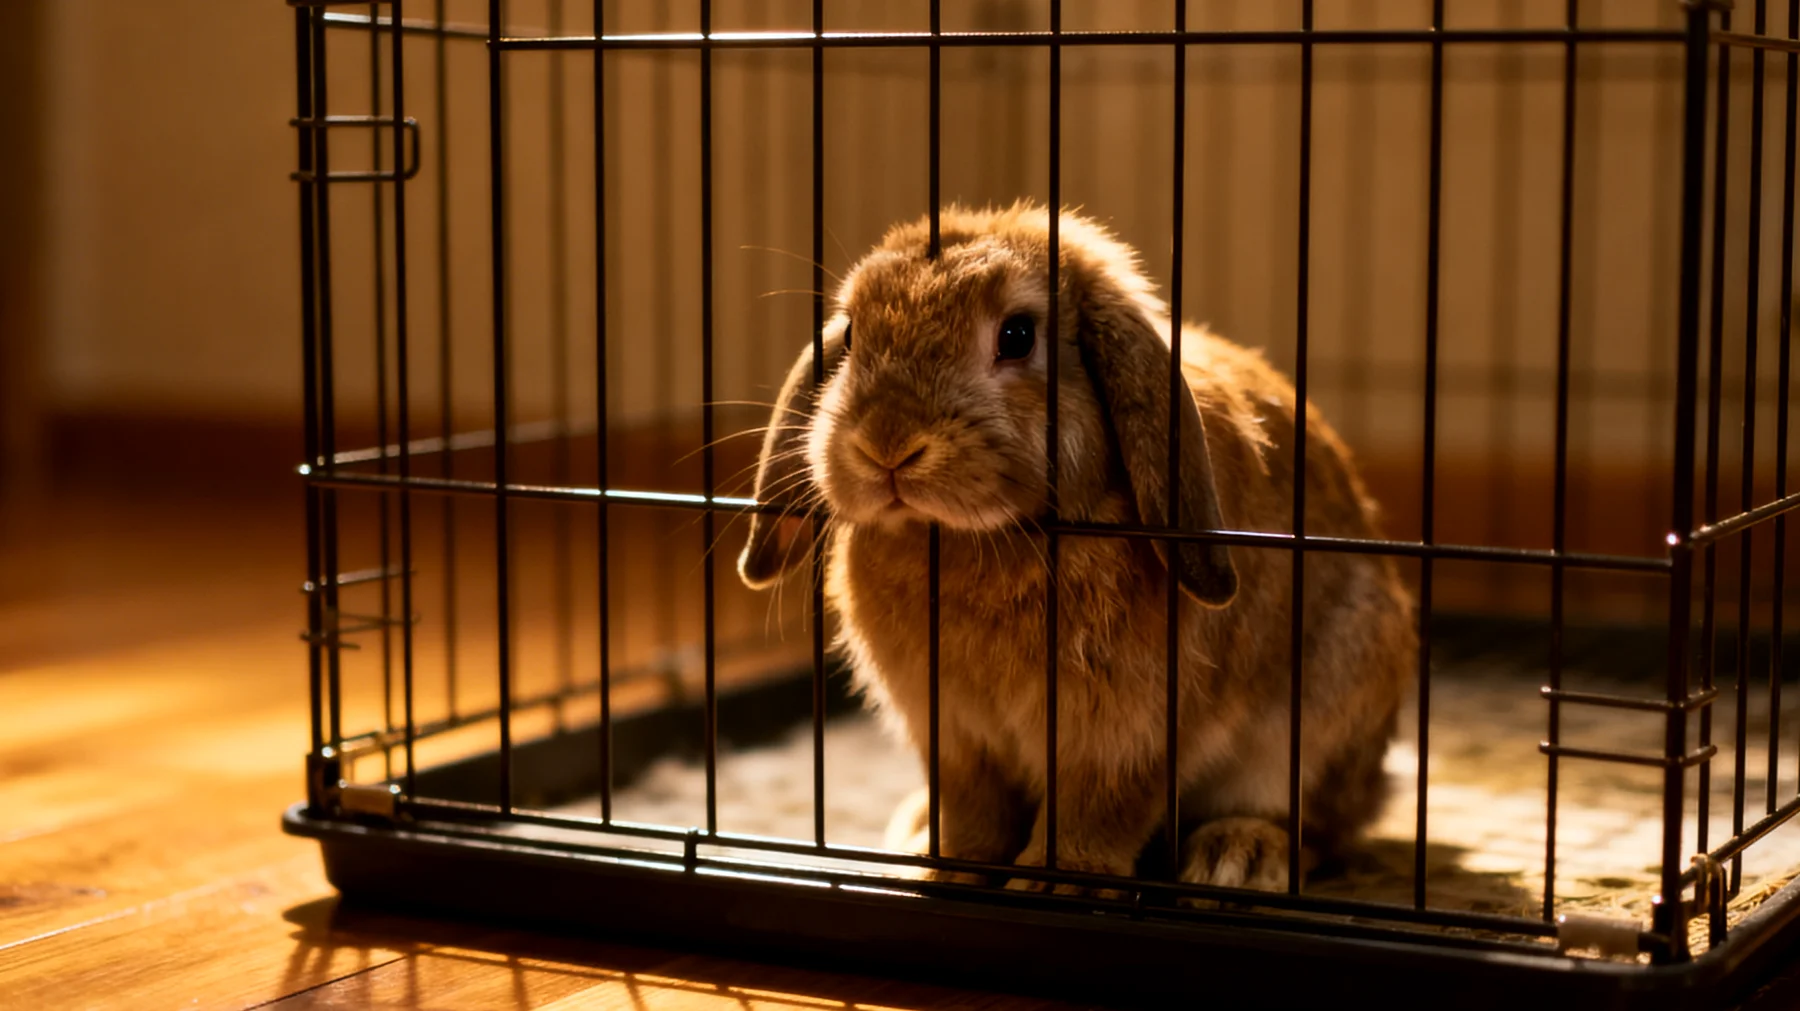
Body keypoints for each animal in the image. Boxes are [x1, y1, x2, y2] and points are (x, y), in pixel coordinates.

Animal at [736, 202, 1415, 895]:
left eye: (1016, 336)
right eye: (849, 336)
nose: (887, 443)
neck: (978, 539)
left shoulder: (1123, 735)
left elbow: (1097, 806)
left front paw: (1059, 883)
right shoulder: (955, 736)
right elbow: (973, 813)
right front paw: (946, 870)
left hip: (1324, 708)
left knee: (1313, 826)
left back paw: (1238, 858)